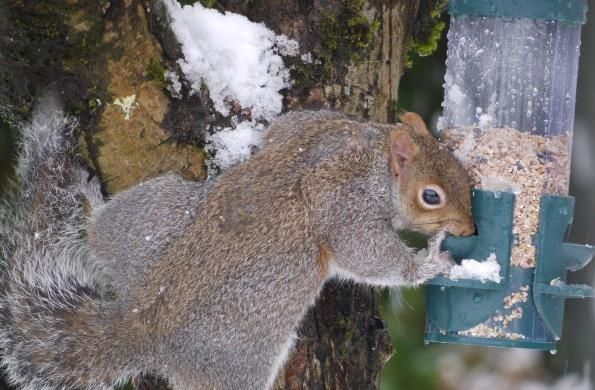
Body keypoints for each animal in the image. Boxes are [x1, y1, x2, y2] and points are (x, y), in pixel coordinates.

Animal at [0, 101, 474, 390]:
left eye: (460, 168)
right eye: (431, 196)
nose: (469, 229)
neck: (372, 158)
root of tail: (142, 326)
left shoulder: (317, 129)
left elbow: (282, 130)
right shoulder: (346, 209)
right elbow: (368, 255)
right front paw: (430, 261)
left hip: (149, 213)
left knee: (99, 229)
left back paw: (89, 202)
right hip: (239, 359)